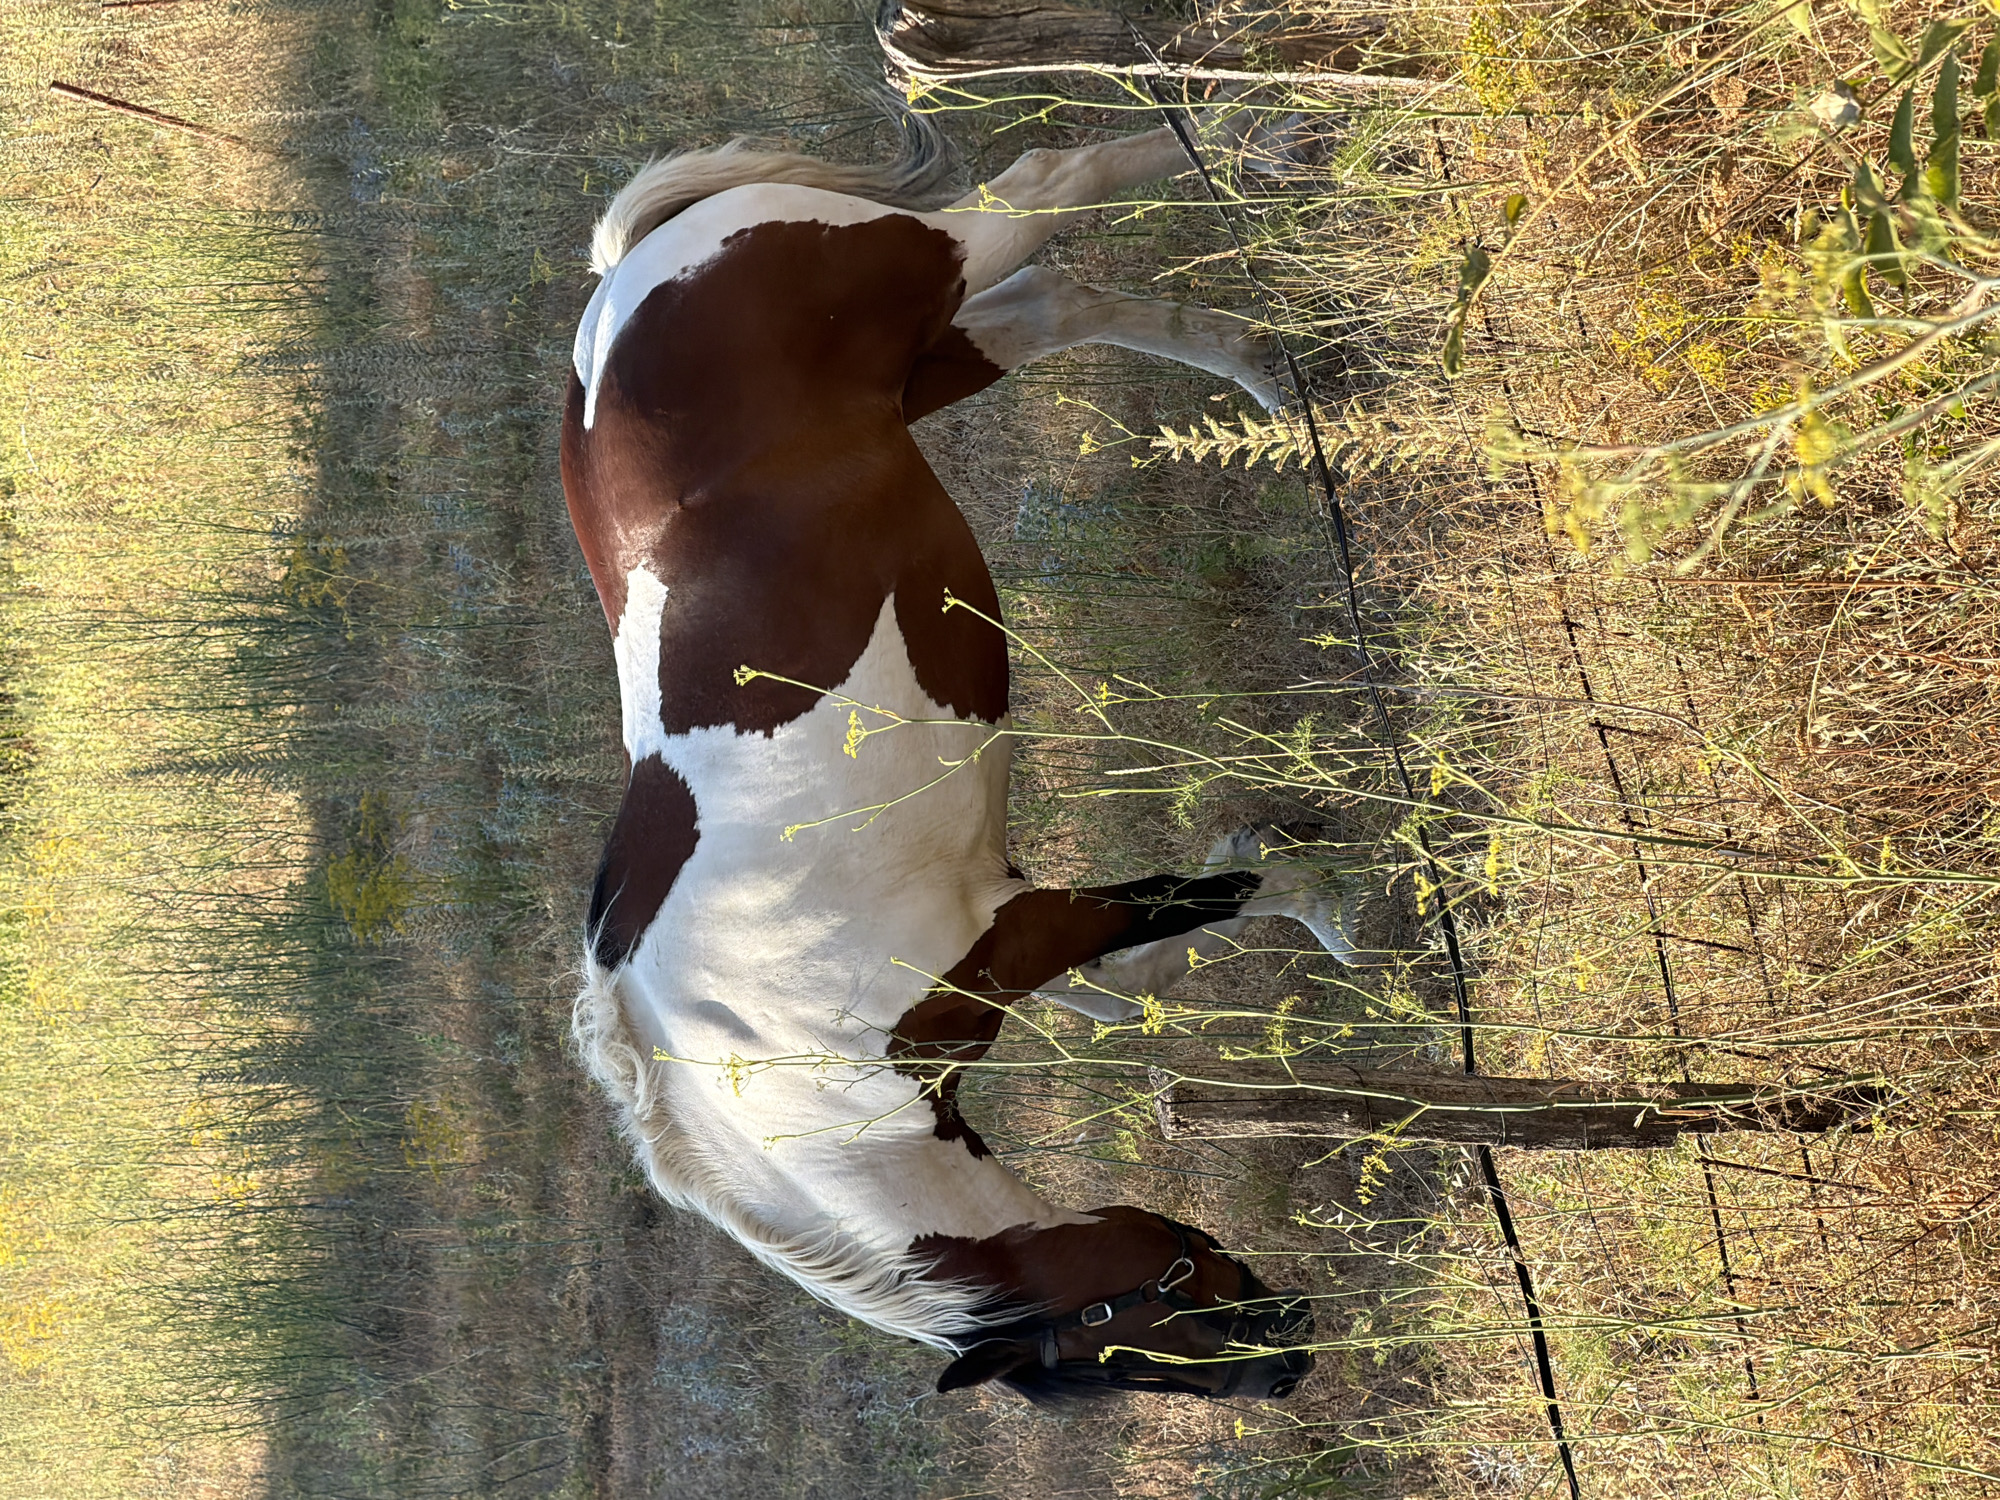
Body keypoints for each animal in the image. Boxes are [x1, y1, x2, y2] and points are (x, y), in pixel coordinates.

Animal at [563, 114, 1354, 1403]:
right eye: (1122, 1355)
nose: (1284, 1365)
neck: (767, 1057)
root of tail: (623, 285)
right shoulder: (1017, 917)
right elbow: (1145, 964)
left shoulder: (1022, 926)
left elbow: (1219, 898)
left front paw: (1342, 906)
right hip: (931, 359)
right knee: (1051, 307)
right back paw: (1254, 368)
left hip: (940, 266)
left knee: (1057, 178)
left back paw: (1246, 138)